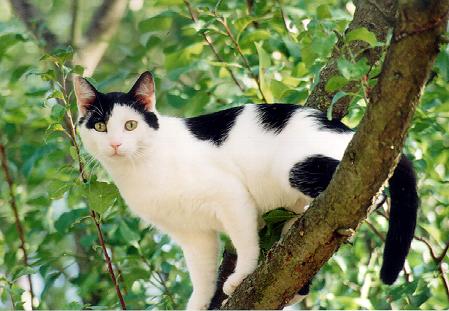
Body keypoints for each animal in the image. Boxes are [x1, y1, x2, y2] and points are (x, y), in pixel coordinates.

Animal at [72, 72, 416, 310]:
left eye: (130, 125)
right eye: (101, 127)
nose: (116, 145)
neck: (141, 167)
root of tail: (348, 130)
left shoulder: (231, 195)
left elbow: (246, 241)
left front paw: (240, 277)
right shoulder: (193, 235)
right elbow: (202, 275)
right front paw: (199, 303)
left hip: (298, 168)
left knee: (371, 192)